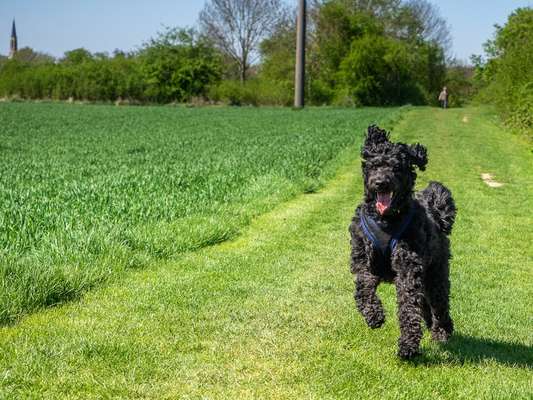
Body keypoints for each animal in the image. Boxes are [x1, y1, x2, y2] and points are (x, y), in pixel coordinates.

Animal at [348, 126, 456, 360]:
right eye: (374, 165)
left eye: (396, 167)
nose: (381, 182)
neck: (386, 219)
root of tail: (438, 217)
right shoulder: (363, 261)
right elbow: (363, 288)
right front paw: (374, 315)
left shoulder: (408, 267)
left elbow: (408, 306)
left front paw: (408, 345)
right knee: (425, 305)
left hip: (436, 275)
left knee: (439, 304)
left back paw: (442, 331)